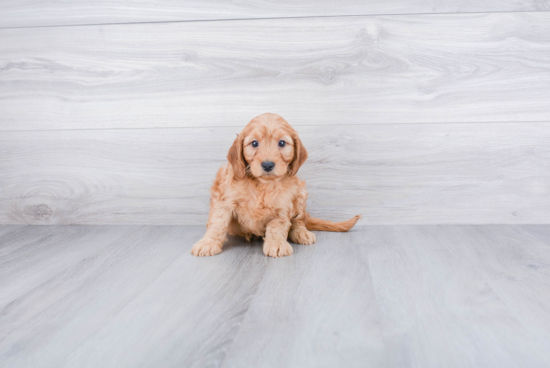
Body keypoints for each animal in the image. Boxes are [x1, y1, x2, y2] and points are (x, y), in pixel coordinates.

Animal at [191, 113, 362, 258]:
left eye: (282, 143)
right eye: (254, 143)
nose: (267, 165)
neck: (262, 185)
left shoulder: (282, 208)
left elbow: (277, 228)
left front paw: (277, 244)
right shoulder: (224, 201)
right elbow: (217, 223)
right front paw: (208, 243)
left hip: (300, 193)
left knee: (299, 220)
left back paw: (301, 233)